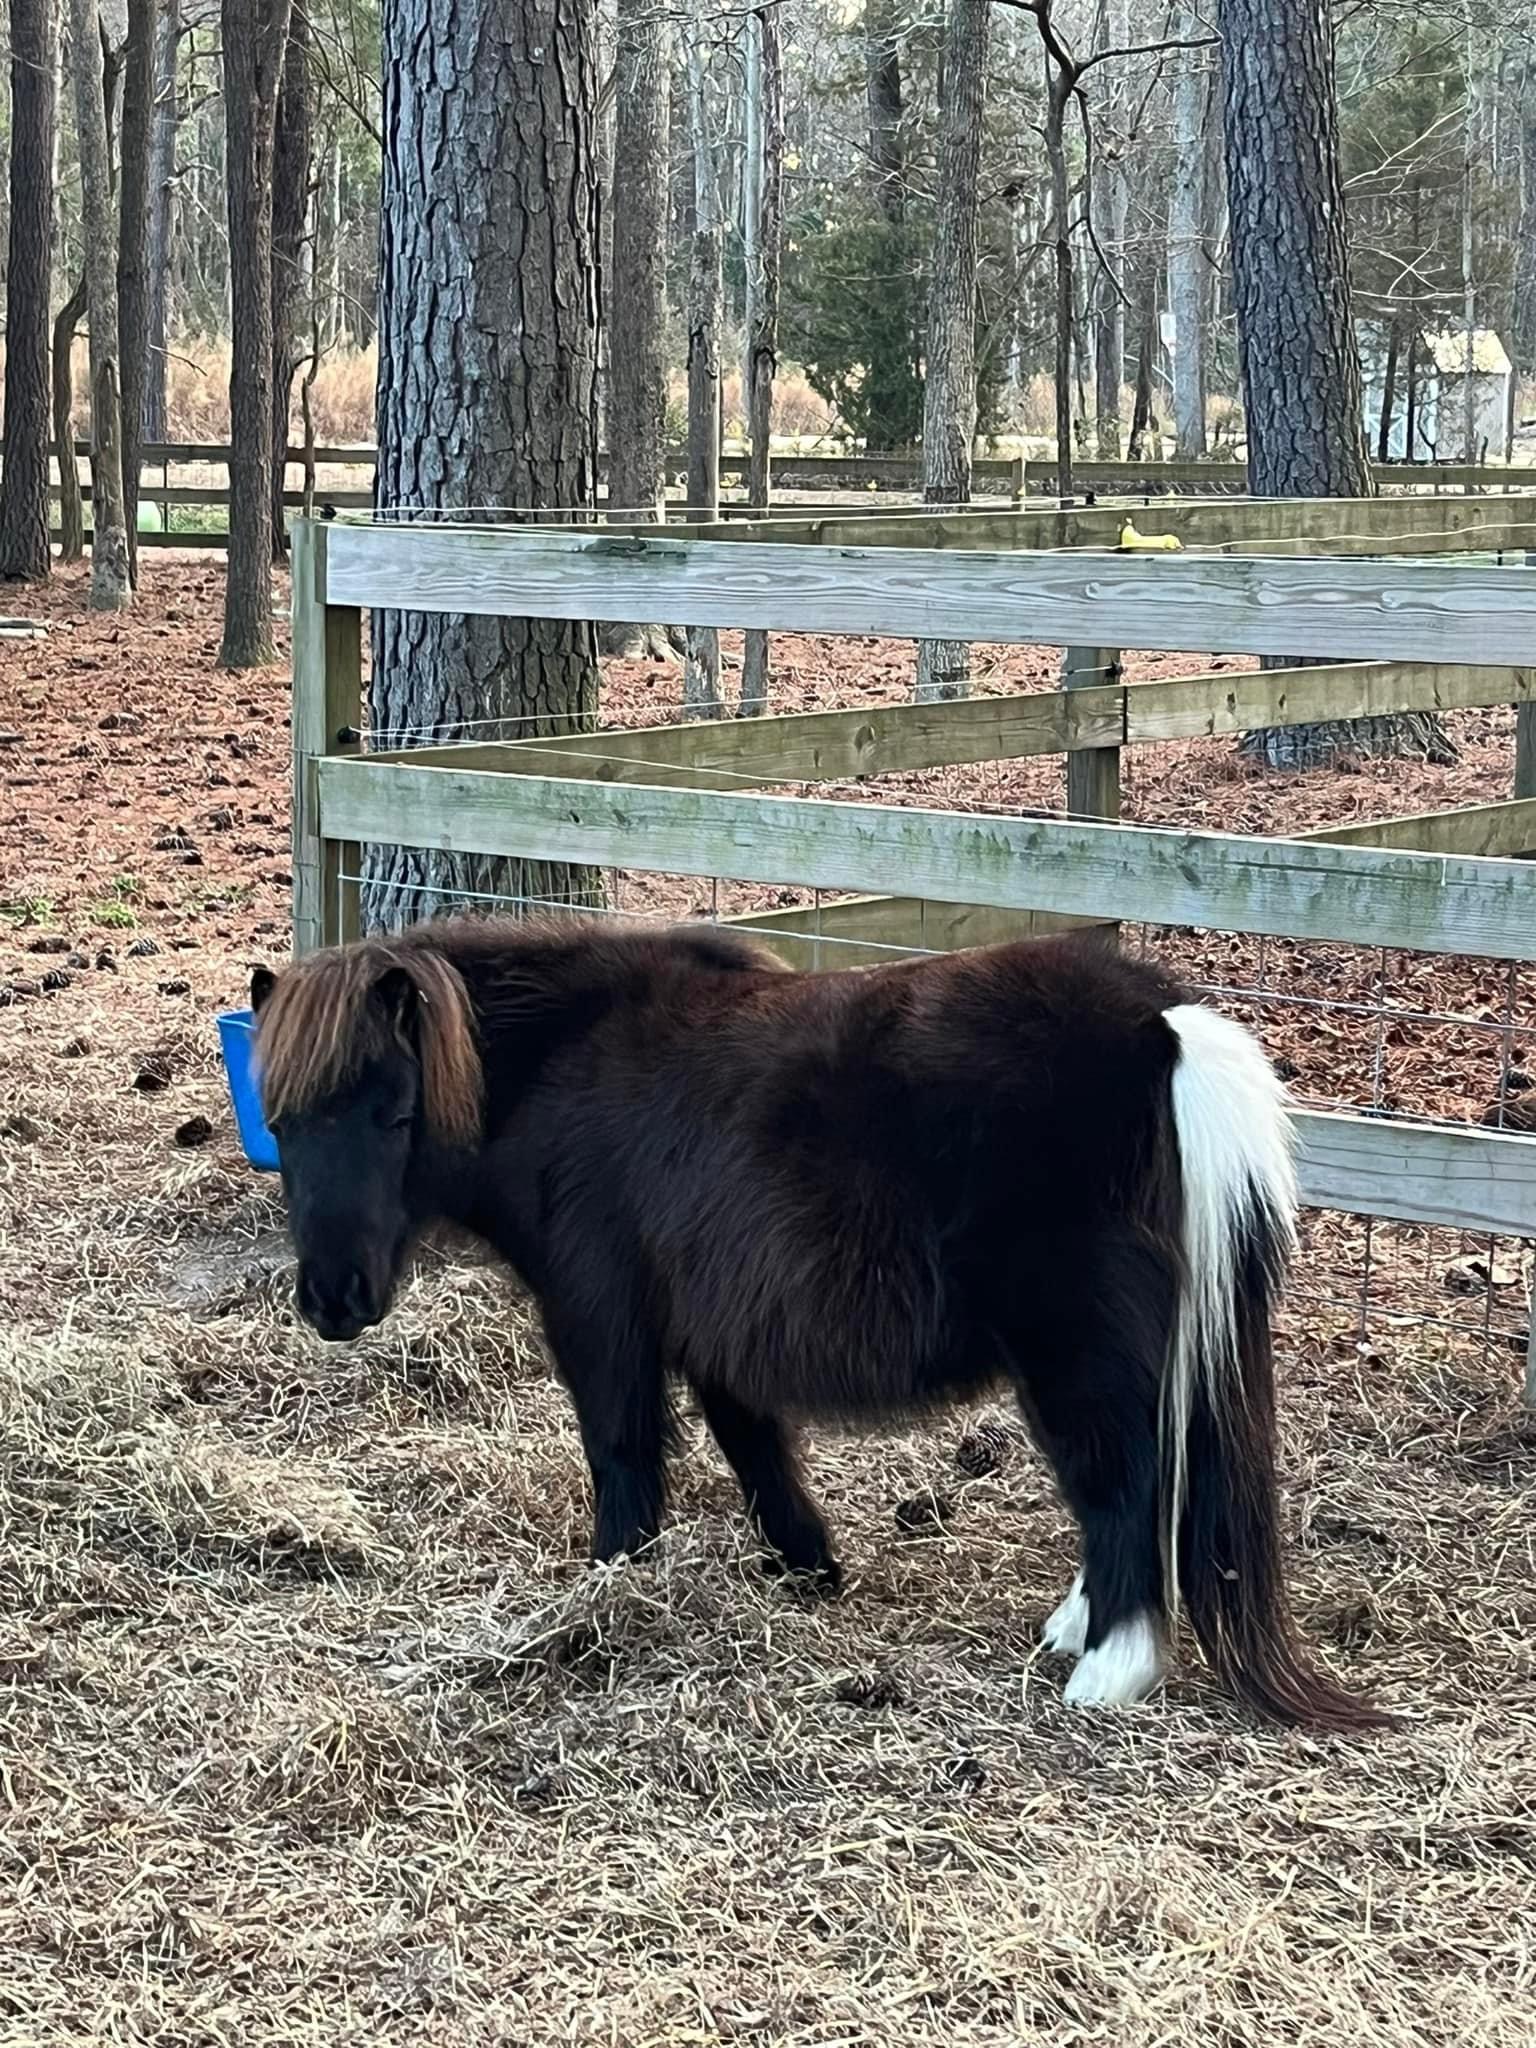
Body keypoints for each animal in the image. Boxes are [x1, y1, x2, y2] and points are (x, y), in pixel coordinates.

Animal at [251, 915, 1387, 1730]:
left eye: (396, 1111)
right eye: (283, 1119)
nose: (334, 1300)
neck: (566, 1069)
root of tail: (1163, 1030)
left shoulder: (602, 1322)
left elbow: (623, 1457)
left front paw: (611, 1591)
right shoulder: (713, 1330)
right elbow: (756, 1450)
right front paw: (810, 1569)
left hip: (1079, 1355)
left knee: (1125, 1485)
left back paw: (1109, 1665)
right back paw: (1074, 1631)